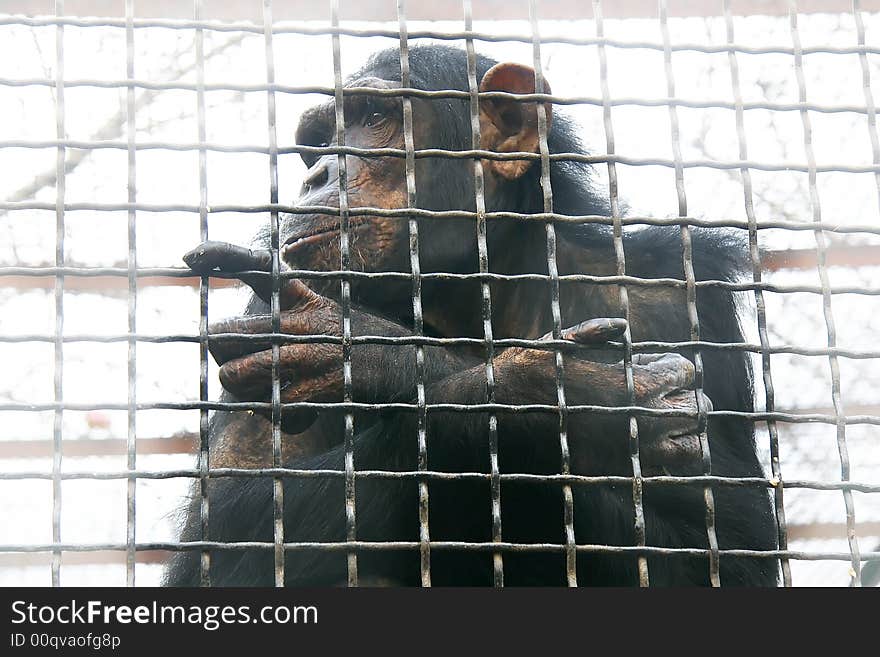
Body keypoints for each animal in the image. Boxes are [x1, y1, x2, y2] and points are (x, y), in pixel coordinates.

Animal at [165, 47, 776, 588]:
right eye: (314, 147)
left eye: (375, 117)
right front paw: (552, 395)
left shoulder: (680, 294)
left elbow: (727, 552)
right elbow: (225, 534)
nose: (317, 176)